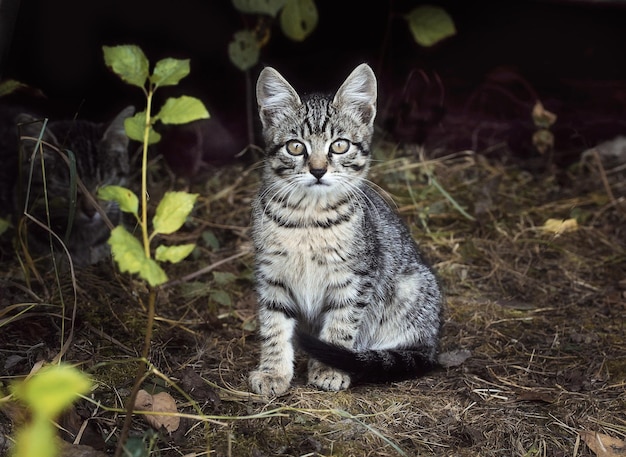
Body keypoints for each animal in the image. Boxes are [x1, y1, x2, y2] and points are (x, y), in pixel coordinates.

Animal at [246, 61, 442, 396]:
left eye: (339, 145)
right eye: (295, 147)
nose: (318, 170)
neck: (308, 219)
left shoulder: (356, 278)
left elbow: (340, 326)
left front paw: (329, 369)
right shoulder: (271, 274)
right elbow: (273, 325)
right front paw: (273, 371)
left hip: (413, 287)